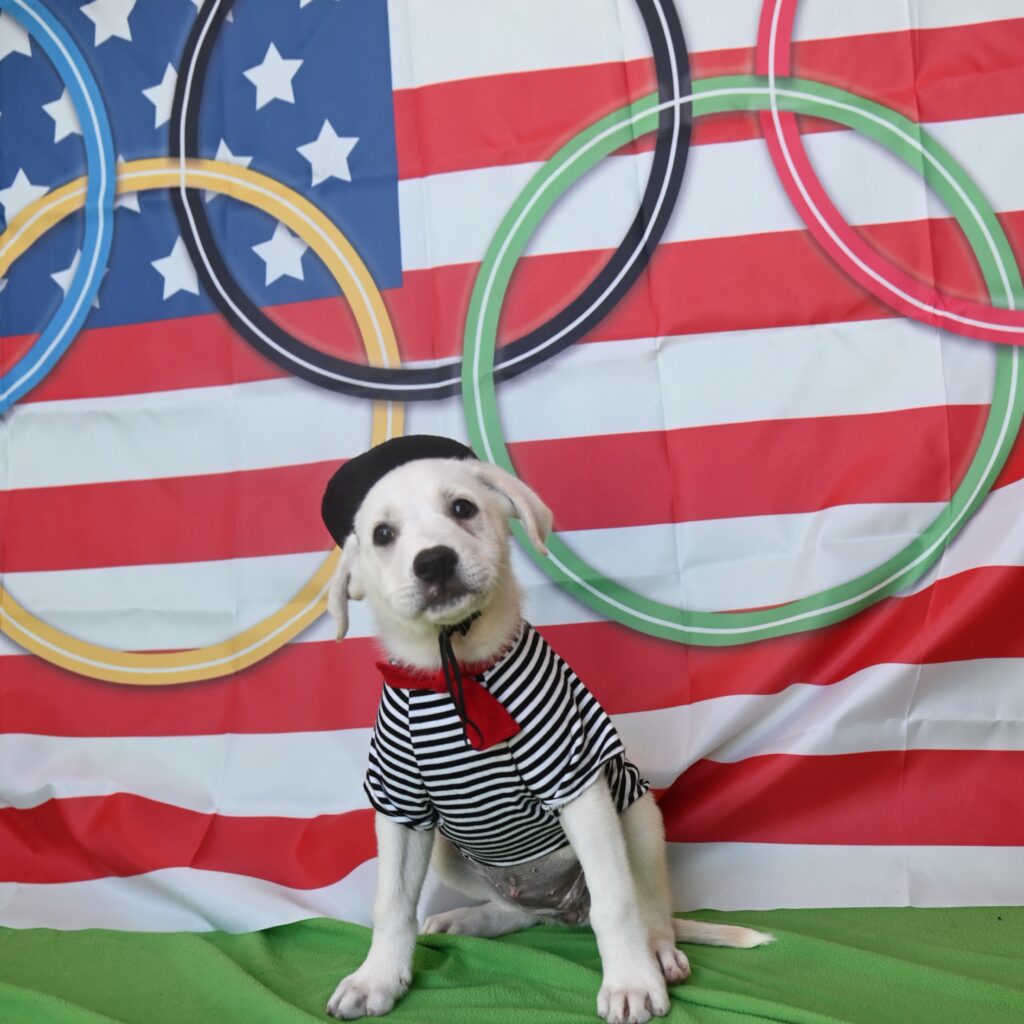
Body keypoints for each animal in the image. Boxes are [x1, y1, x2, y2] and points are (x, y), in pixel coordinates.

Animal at [319, 446, 770, 1024]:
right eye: (382, 534)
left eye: (462, 507)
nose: (434, 561)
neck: (456, 670)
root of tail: (565, 908)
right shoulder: (401, 807)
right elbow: (391, 903)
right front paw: (376, 978)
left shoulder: (577, 784)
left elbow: (617, 901)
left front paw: (630, 982)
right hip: (449, 851)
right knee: (524, 913)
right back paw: (471, 920)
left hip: (639, 816)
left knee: (647, 903)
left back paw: (658, 952)